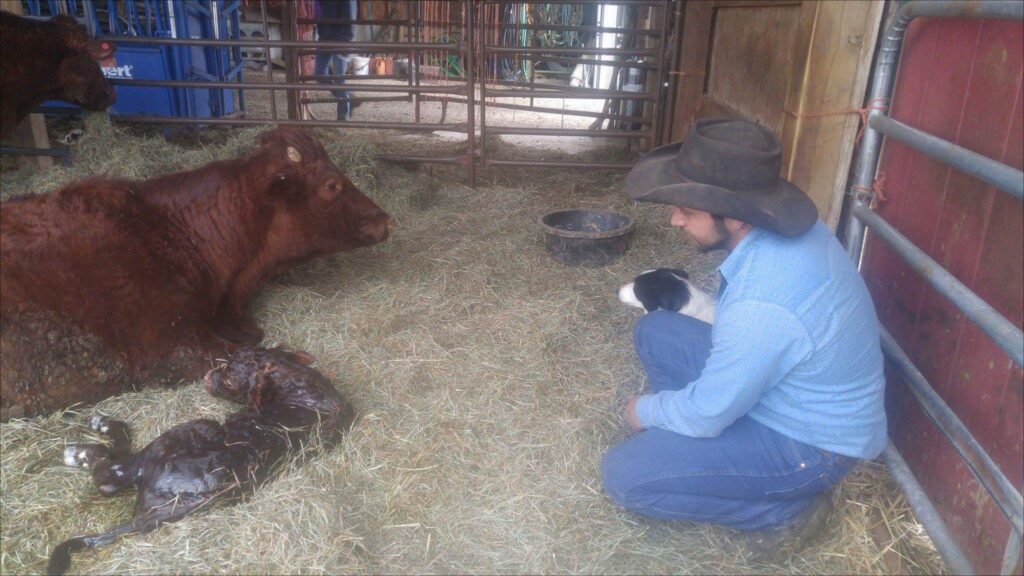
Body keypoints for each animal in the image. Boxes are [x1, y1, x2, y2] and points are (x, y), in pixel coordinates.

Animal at [49, 344, 358, 573]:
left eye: (230, 378)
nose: (209, 374)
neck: (298, 385)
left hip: (183, 433)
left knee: (112, 471)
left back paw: (86, 443)